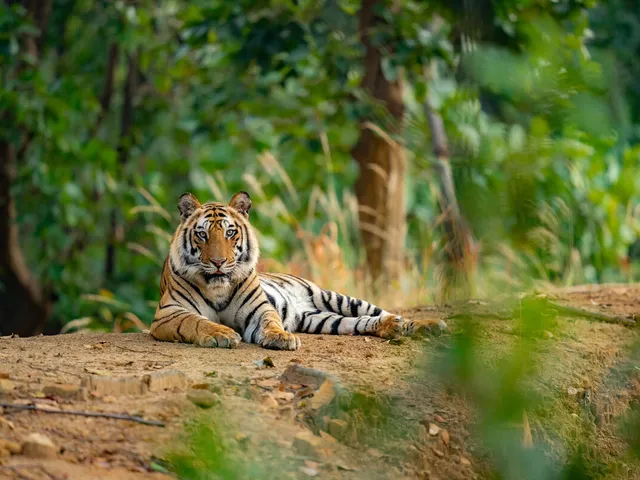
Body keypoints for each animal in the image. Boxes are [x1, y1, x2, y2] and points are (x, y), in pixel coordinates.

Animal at [150, 191, 445, 350]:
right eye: (202, 234)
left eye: (230, 233)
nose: (218, 262)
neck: (218, 287)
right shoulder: (168, 313)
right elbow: (197, 321)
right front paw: (221, 334)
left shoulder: (259, 309)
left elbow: (270, 321)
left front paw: (281, 337)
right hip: (322, 320)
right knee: (360, 322)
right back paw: (393, 328)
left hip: (336, 298)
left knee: (381, 311)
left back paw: (425, 325)